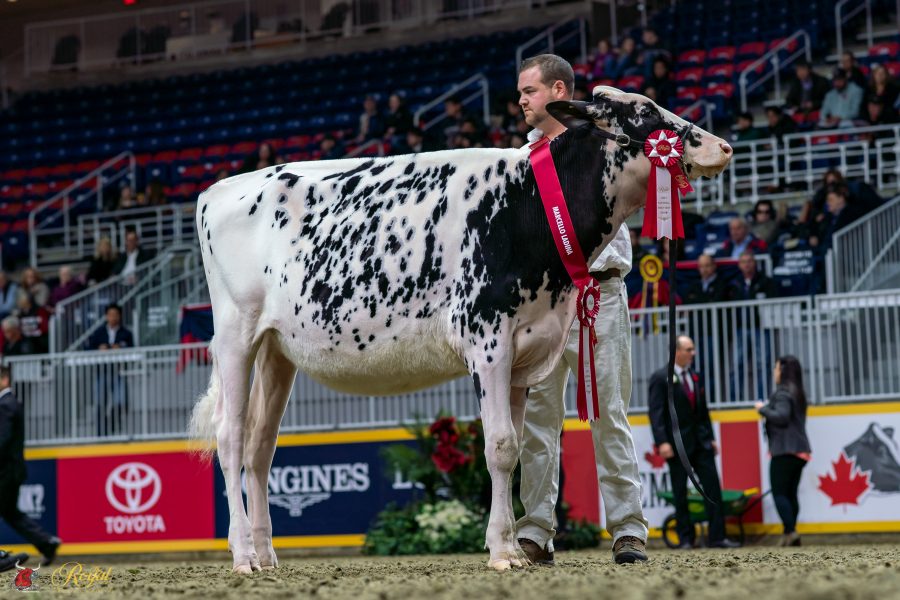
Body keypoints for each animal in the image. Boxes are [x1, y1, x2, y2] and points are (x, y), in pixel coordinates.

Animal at [190, 87, 733, 573]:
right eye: (645, 112)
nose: (724, 146)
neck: (528, 206)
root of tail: (218, 189)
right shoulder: (487, 339)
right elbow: (500, 447)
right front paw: (502, 552)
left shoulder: (525, 352)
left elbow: (515, 451)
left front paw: (514, 547)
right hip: (236, 334)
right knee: (232, 438)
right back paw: (243, 556)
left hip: (277, 351)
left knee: (261, 447)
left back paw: (267, 554)